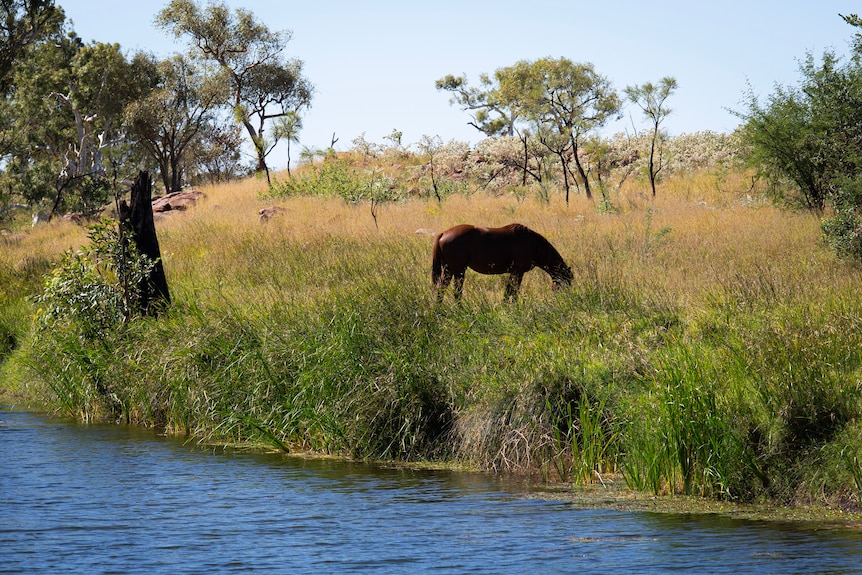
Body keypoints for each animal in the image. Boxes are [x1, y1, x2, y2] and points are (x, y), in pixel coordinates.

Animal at [431, 223, 573, 302]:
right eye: (566, 282)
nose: (566, 298)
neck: (534, 245)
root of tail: (443, 234)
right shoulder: (518, 272)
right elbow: (514, 291)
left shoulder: (514, 272)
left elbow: (509, 290)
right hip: (459, 271)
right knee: (457, 292)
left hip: (449, 270)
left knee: (441, 289)